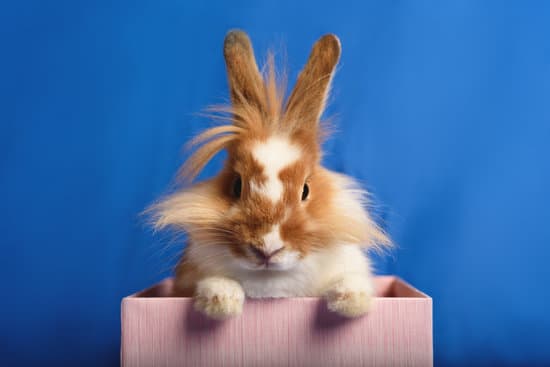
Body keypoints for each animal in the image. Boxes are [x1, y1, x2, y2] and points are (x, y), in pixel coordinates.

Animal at [151, 30, 392, 320]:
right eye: (236, 185)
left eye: (305, 190)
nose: (267, 247)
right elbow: (212, 283)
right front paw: (221, 301)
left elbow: (352, 280)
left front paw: (350, 302)